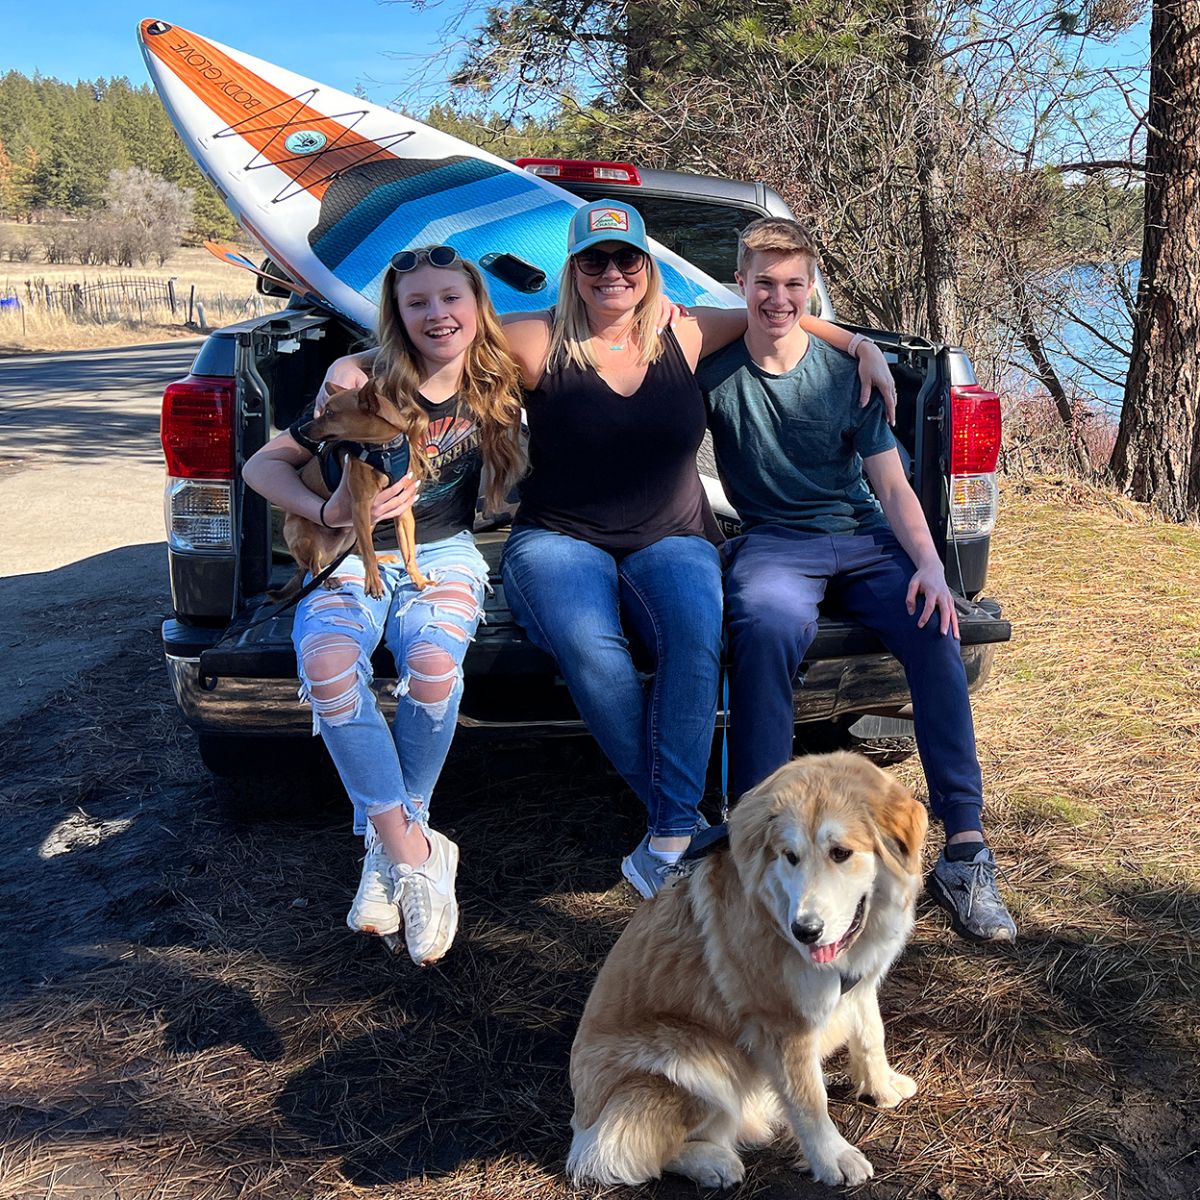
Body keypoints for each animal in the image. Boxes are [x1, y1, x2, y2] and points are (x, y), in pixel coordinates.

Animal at [274, 379, 434, 600]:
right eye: (323, 410)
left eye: (330, 413)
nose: (303, 429)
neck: (384, 449)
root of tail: (330, 556)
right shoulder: (361, 507)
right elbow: (368, 551)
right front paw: (373, 584)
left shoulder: (402, 513)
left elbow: (407, 551)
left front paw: (418, 579)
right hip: (302, 532)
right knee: (313, 568)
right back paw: (328, 579)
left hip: (362, 527)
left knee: (355, 550)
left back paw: (381, 559)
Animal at [564, 753, 926, 1185]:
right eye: (790, 856)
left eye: (840, 853)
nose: (805, 931)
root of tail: (583, 1121)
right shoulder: (782, 1023)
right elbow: (810, 1100)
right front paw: (833, 1158)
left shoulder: (859, 985)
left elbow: (871, 1036)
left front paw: (881, 1086)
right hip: (690, 1057)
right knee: (614, 1154)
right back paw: (712, 1163)